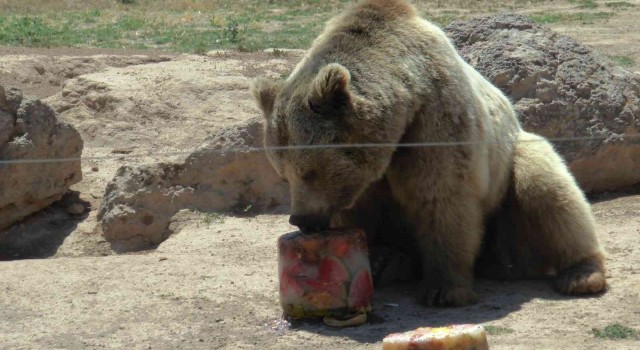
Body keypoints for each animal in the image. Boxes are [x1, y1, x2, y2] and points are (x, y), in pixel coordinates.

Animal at [250, 0, 604, 306]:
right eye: (283, 174)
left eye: (310, 171)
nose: (302, 219)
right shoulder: (364, 179)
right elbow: (358, 213)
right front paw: (367, 258)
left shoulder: (434, 117)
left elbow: (441, 196)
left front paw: (442, 289)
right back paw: (390, 261)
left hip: (511, 174)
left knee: (548, 188)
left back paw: (581, 274)